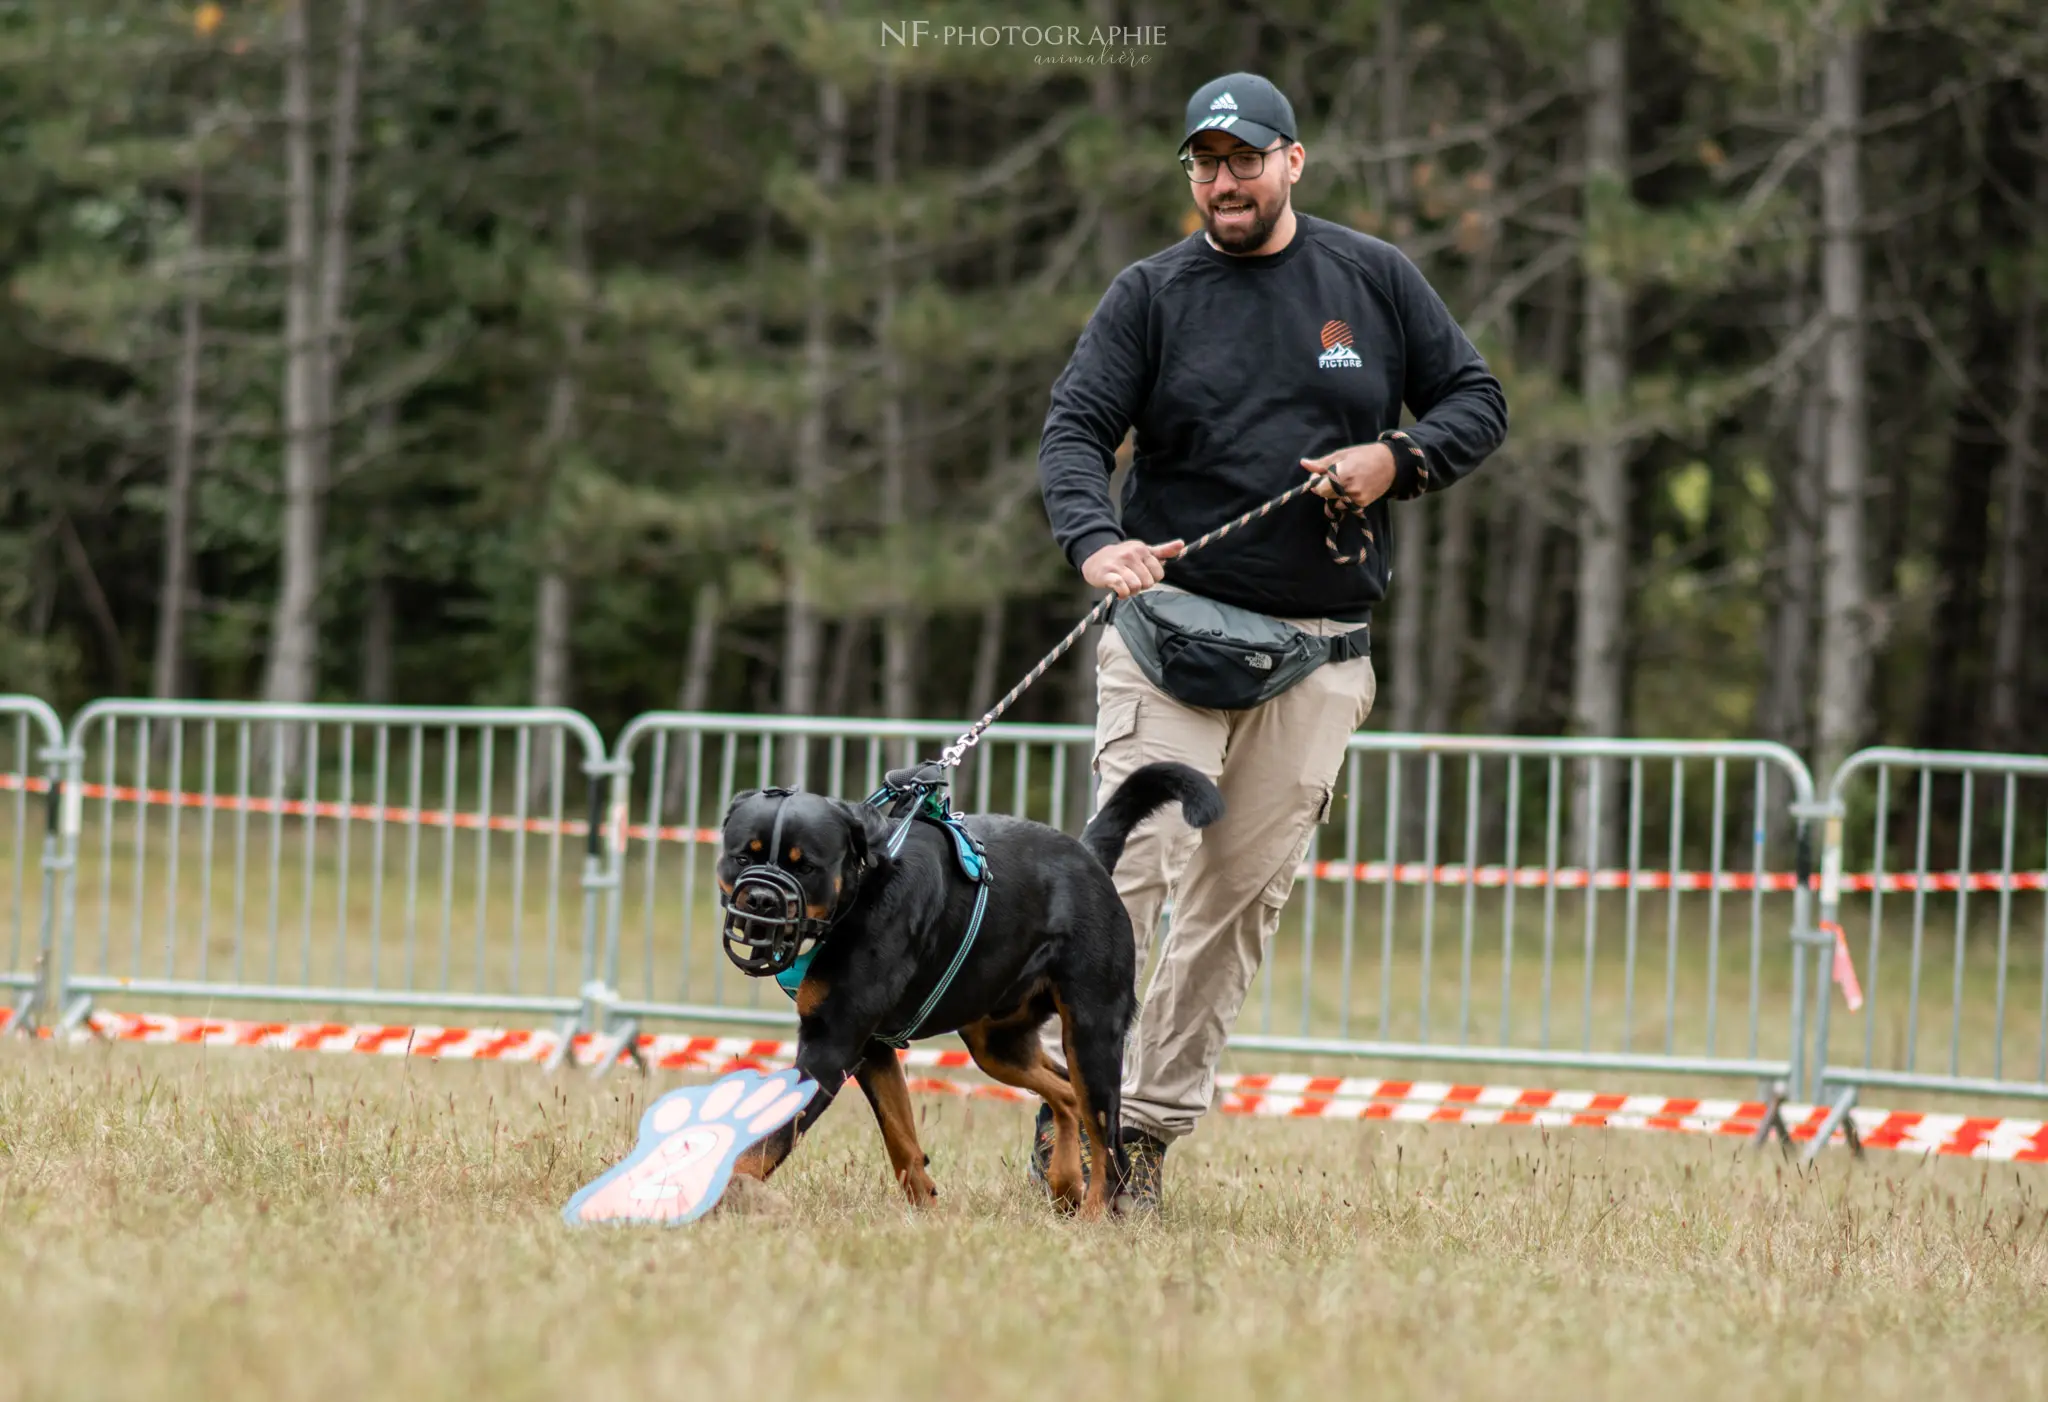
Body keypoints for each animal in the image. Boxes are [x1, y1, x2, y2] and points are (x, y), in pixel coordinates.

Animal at [712, 761, 1212, 1219]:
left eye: (806, 866)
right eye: (743, 857)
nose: (761, 899)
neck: (859, 894)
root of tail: (1088, 857)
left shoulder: (830, 1048)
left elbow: (767, 1138)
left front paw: (722, 1191)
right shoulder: (870, 1048)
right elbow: (901, 1138)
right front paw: (927, 1210)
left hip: (1092, 1031)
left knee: (1106, 1139)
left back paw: (1093, 1217)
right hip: (996, 1042)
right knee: (1066, 1095)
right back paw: (1066, 1183)